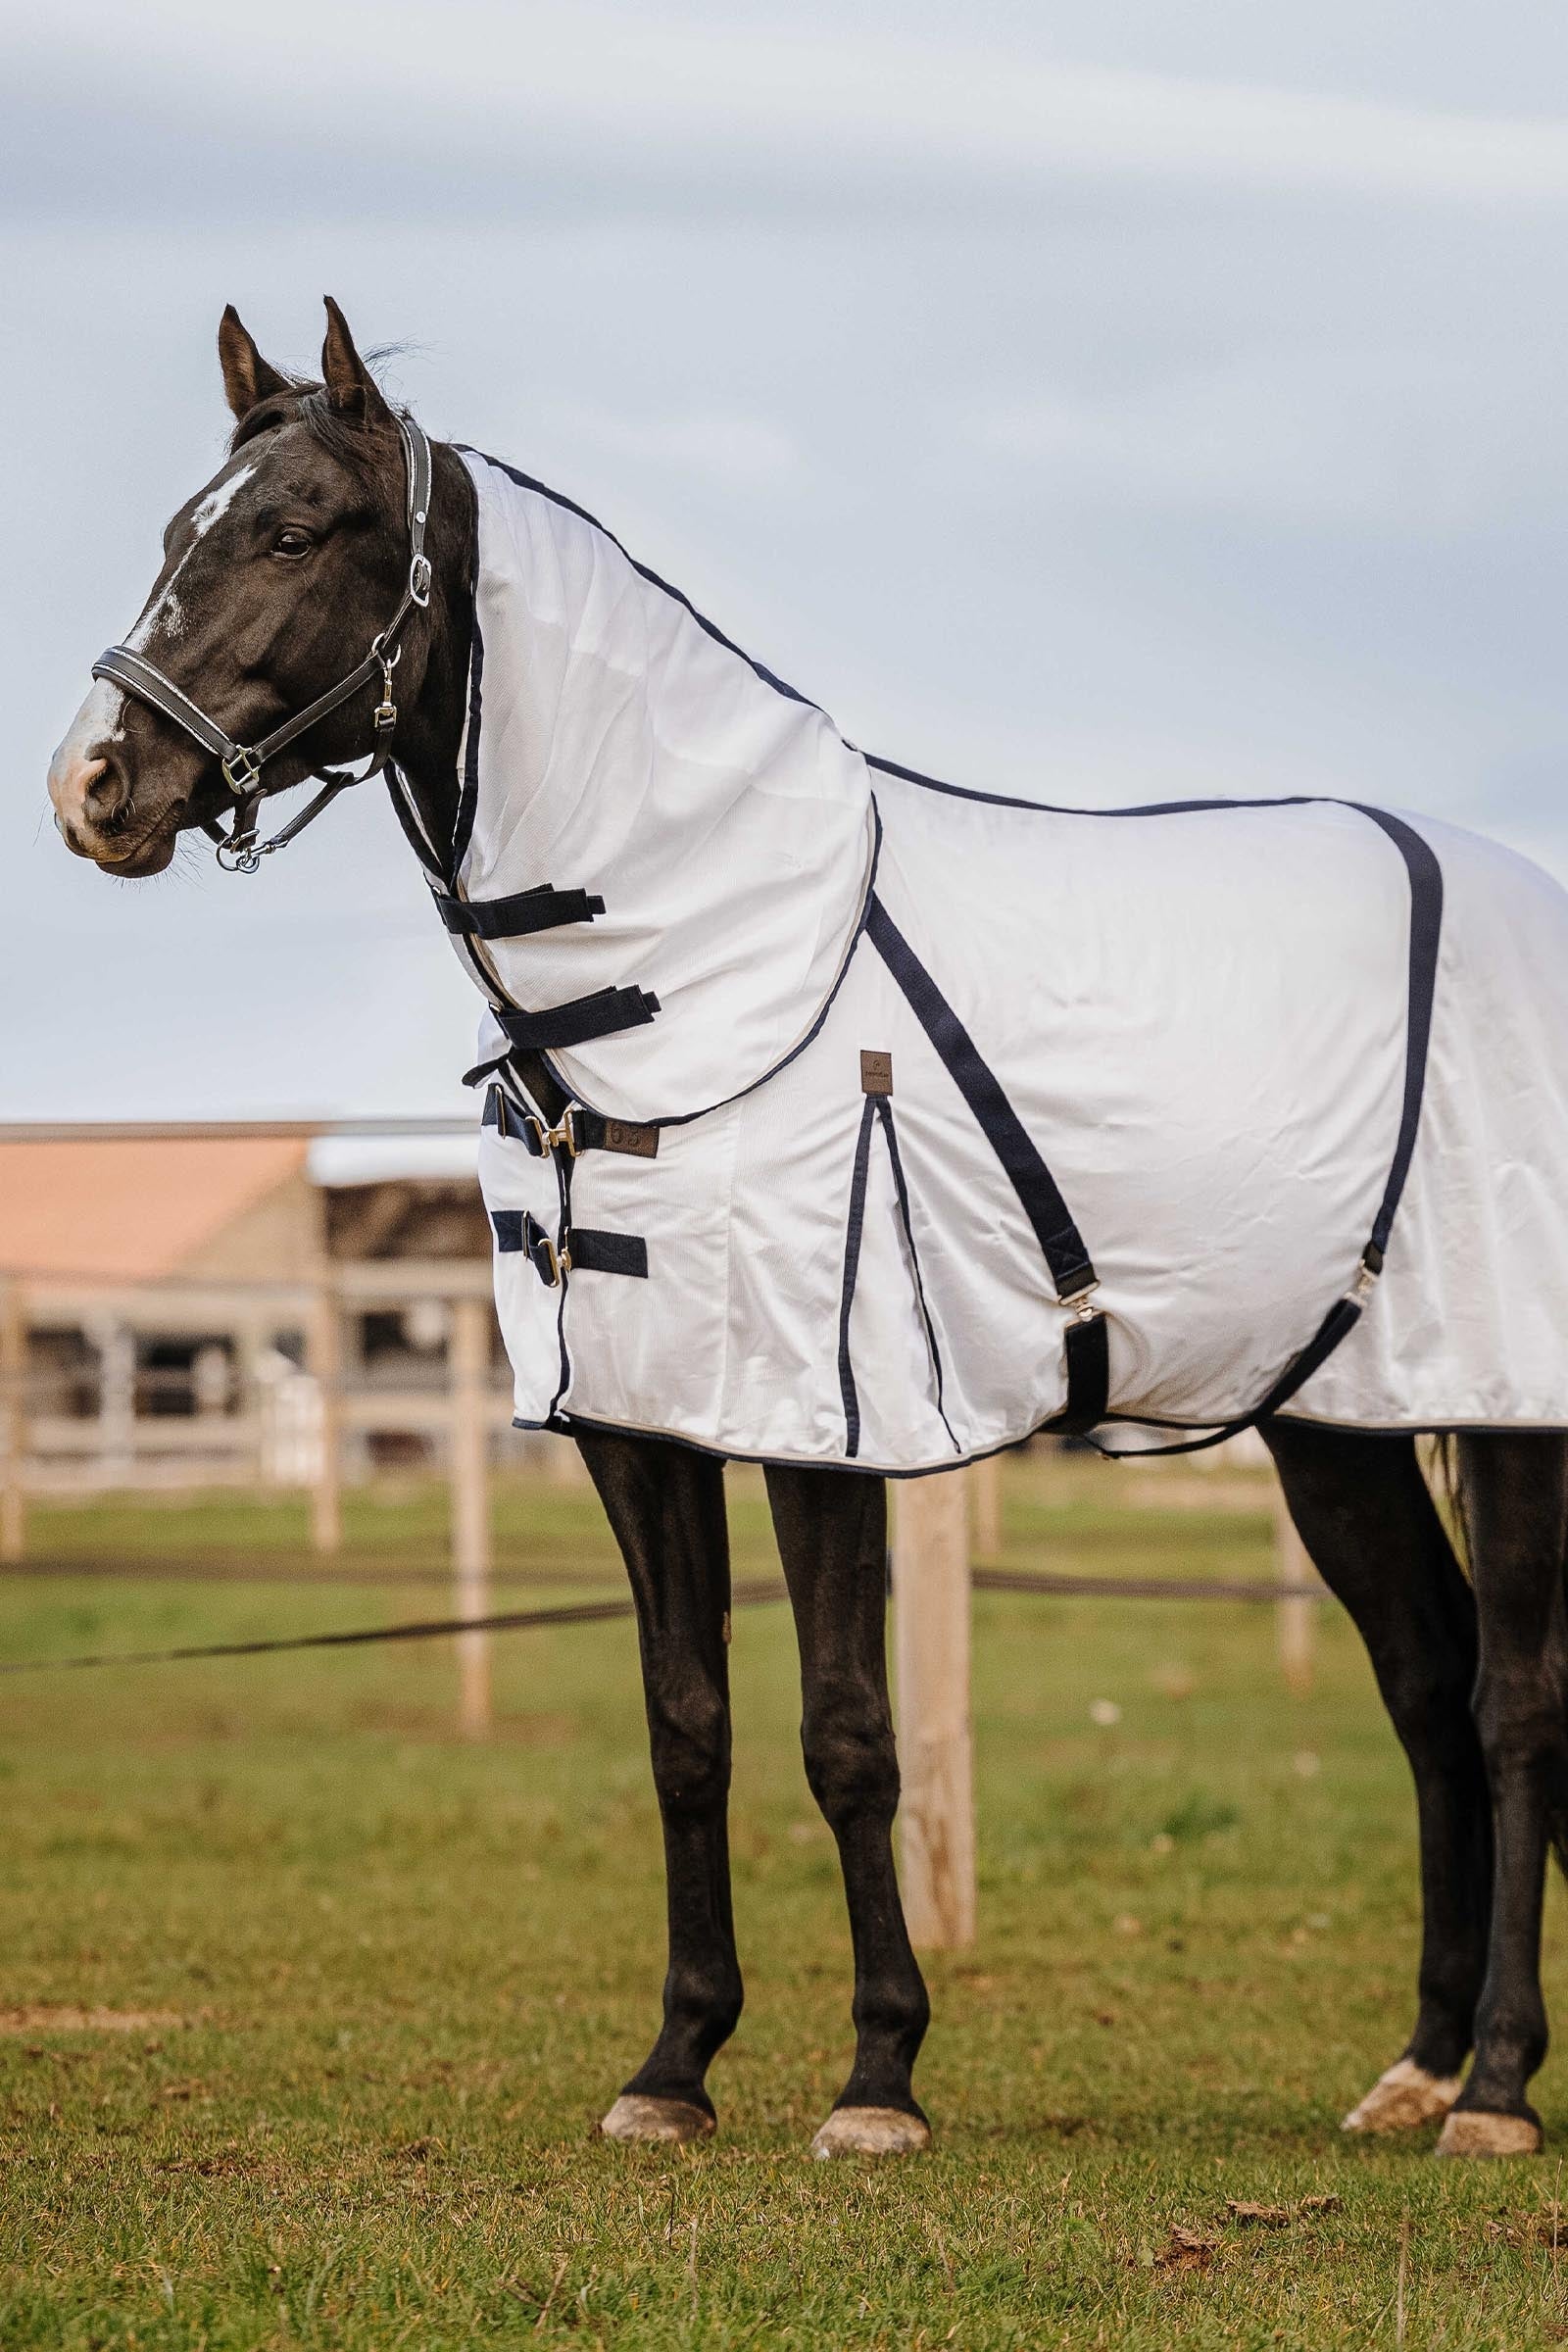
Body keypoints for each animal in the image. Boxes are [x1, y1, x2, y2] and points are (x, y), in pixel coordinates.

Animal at [45, 298, 1568, 2162]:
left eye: (292, 533)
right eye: (174, 531)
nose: (94, 785)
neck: (702, 973)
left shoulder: (818, 1415)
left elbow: (847, 1734)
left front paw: (879, 2079)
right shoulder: (639, 1423)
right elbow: (684, 1726)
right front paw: (675, 2065)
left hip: (1508, 1410)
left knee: (1511, 1706)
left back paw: (1495, 2088)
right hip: (1329, 1421)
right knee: (1425, 1687)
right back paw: (1419, 2063)